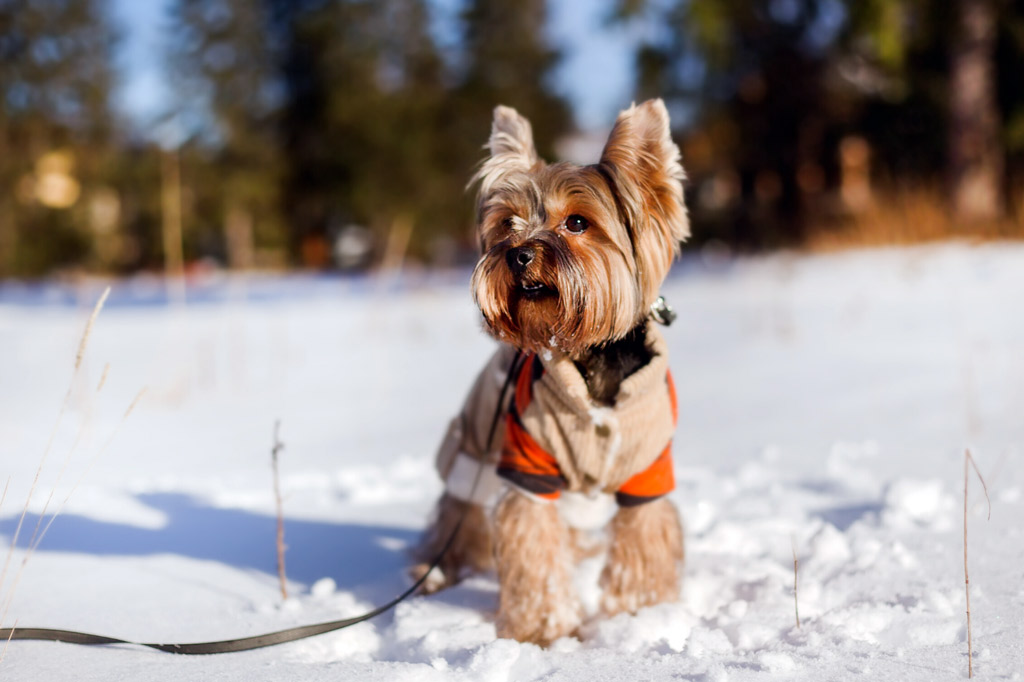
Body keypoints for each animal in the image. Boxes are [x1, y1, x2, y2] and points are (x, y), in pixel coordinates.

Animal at [411, 96, 692, 643]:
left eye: (578, 223)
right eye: (507, 224)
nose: (518, 254)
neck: (588, 358)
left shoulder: (649, 468)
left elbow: (644, 540)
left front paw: (641, 618)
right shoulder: (528, 465)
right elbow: (534, 546)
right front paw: (544, 632)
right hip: (475, 440)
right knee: (458, 510)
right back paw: (435, 574)